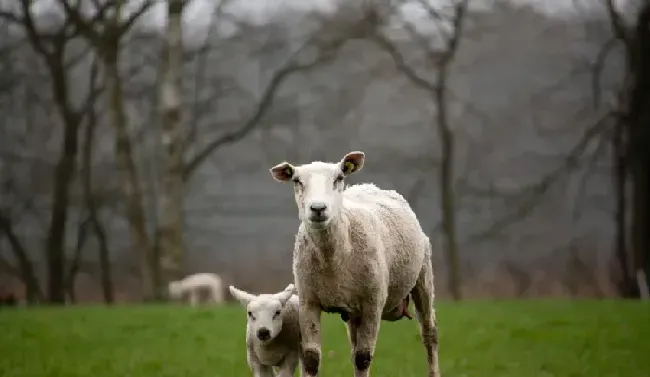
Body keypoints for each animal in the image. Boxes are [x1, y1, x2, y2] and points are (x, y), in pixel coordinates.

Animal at [268, 150, 440, 376]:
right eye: (297, 181)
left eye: (339, 178)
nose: (318, 208)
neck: (333, 258)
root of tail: (371, 186)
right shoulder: (308, 301)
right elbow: (312, 359)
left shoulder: (373, 302)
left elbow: (363, 358)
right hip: (352, 310)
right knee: (353, 346)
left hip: (423, 277)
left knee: (429, 334)